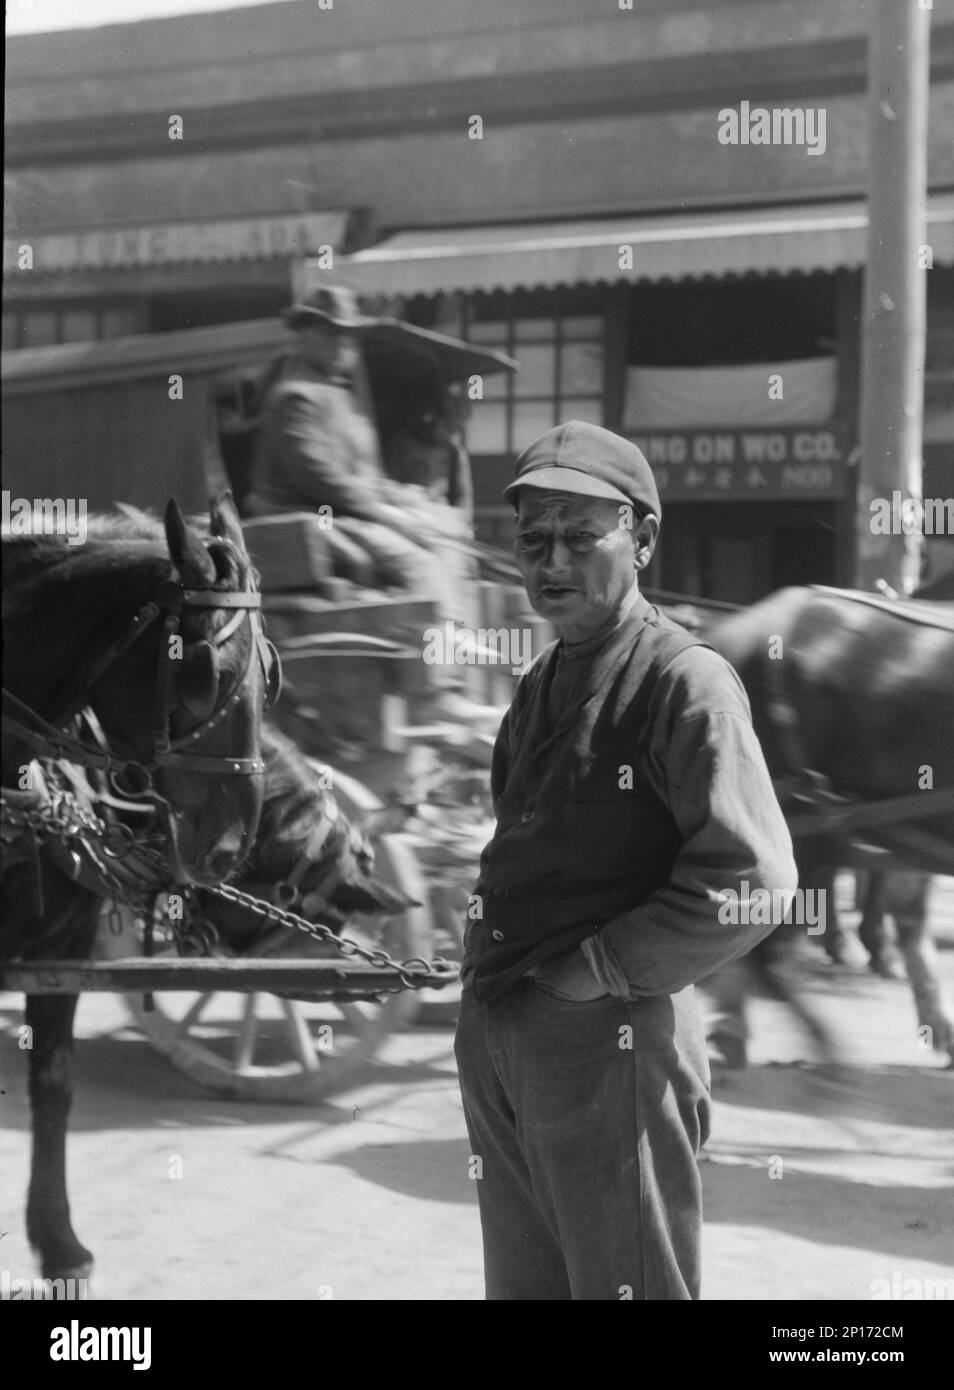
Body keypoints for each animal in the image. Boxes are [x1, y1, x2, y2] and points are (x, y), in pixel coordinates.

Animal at [2, 497, 272, 1278]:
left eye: (269, 675)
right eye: (202, 673)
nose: (230, 845)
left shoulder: (60, 949)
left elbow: (54, 1084)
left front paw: (58, 1240)